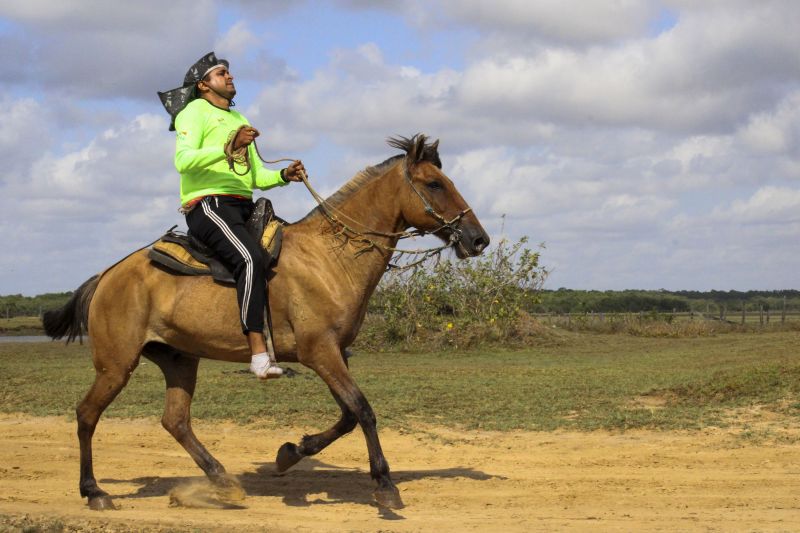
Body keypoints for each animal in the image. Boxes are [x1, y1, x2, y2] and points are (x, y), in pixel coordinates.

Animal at [43, 134, 490, 511]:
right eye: (434, 184)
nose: (478, 239)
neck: (331, 256)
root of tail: (107, 275)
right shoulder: (319, 352)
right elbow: (363, 410)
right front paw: (385, 485)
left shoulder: (335, 353)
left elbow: (347, 415)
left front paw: (290, 453)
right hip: (117, 364)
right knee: (87, 415)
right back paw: (94, 491)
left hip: (179, 359)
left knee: (175, 420)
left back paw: (222, 481)